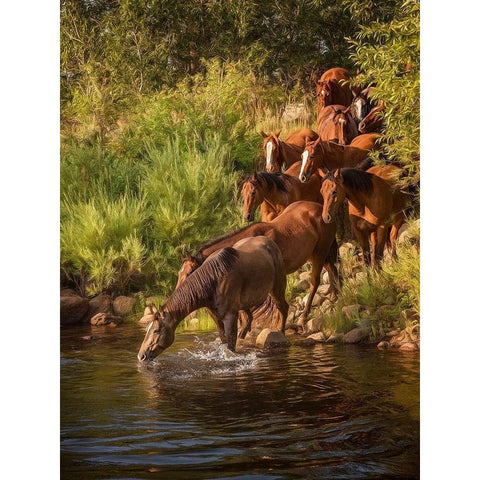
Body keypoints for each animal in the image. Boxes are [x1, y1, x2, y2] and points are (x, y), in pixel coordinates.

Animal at [138, 236, 288, 360]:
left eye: (156, 330)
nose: (141, 356)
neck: (214, 280)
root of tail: (269, 241)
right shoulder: (216, 316)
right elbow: (224, 339)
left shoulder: (230, 316)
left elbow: (230, 346)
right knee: (248, 320)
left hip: (276, 289)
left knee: (283, 308)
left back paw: (280, 334)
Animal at [177, 201, 342, 328]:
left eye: (188, 274)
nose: (181, 295)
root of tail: (322, 209)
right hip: (315, 255)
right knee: (332, 269)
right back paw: (335, 295)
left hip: (320, 253)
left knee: (315, 282)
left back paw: (304, 317)